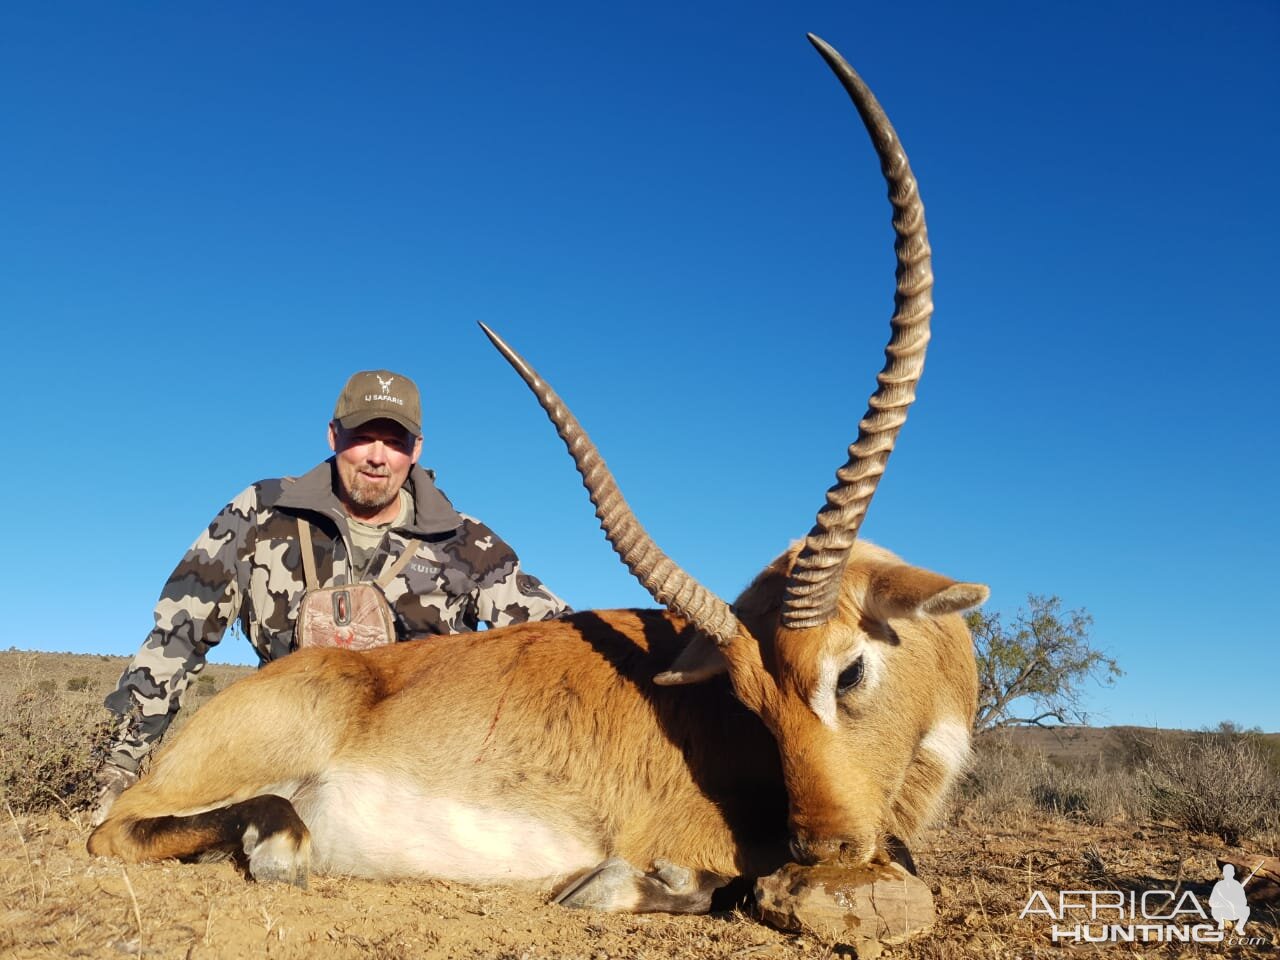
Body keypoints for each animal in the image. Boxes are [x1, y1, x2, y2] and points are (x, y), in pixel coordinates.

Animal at [87, 33, 988, 911]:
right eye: (752, 702)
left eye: (851, 670)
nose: (823, 848)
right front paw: (636, 882)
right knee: (116, 829)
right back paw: (275, 841)